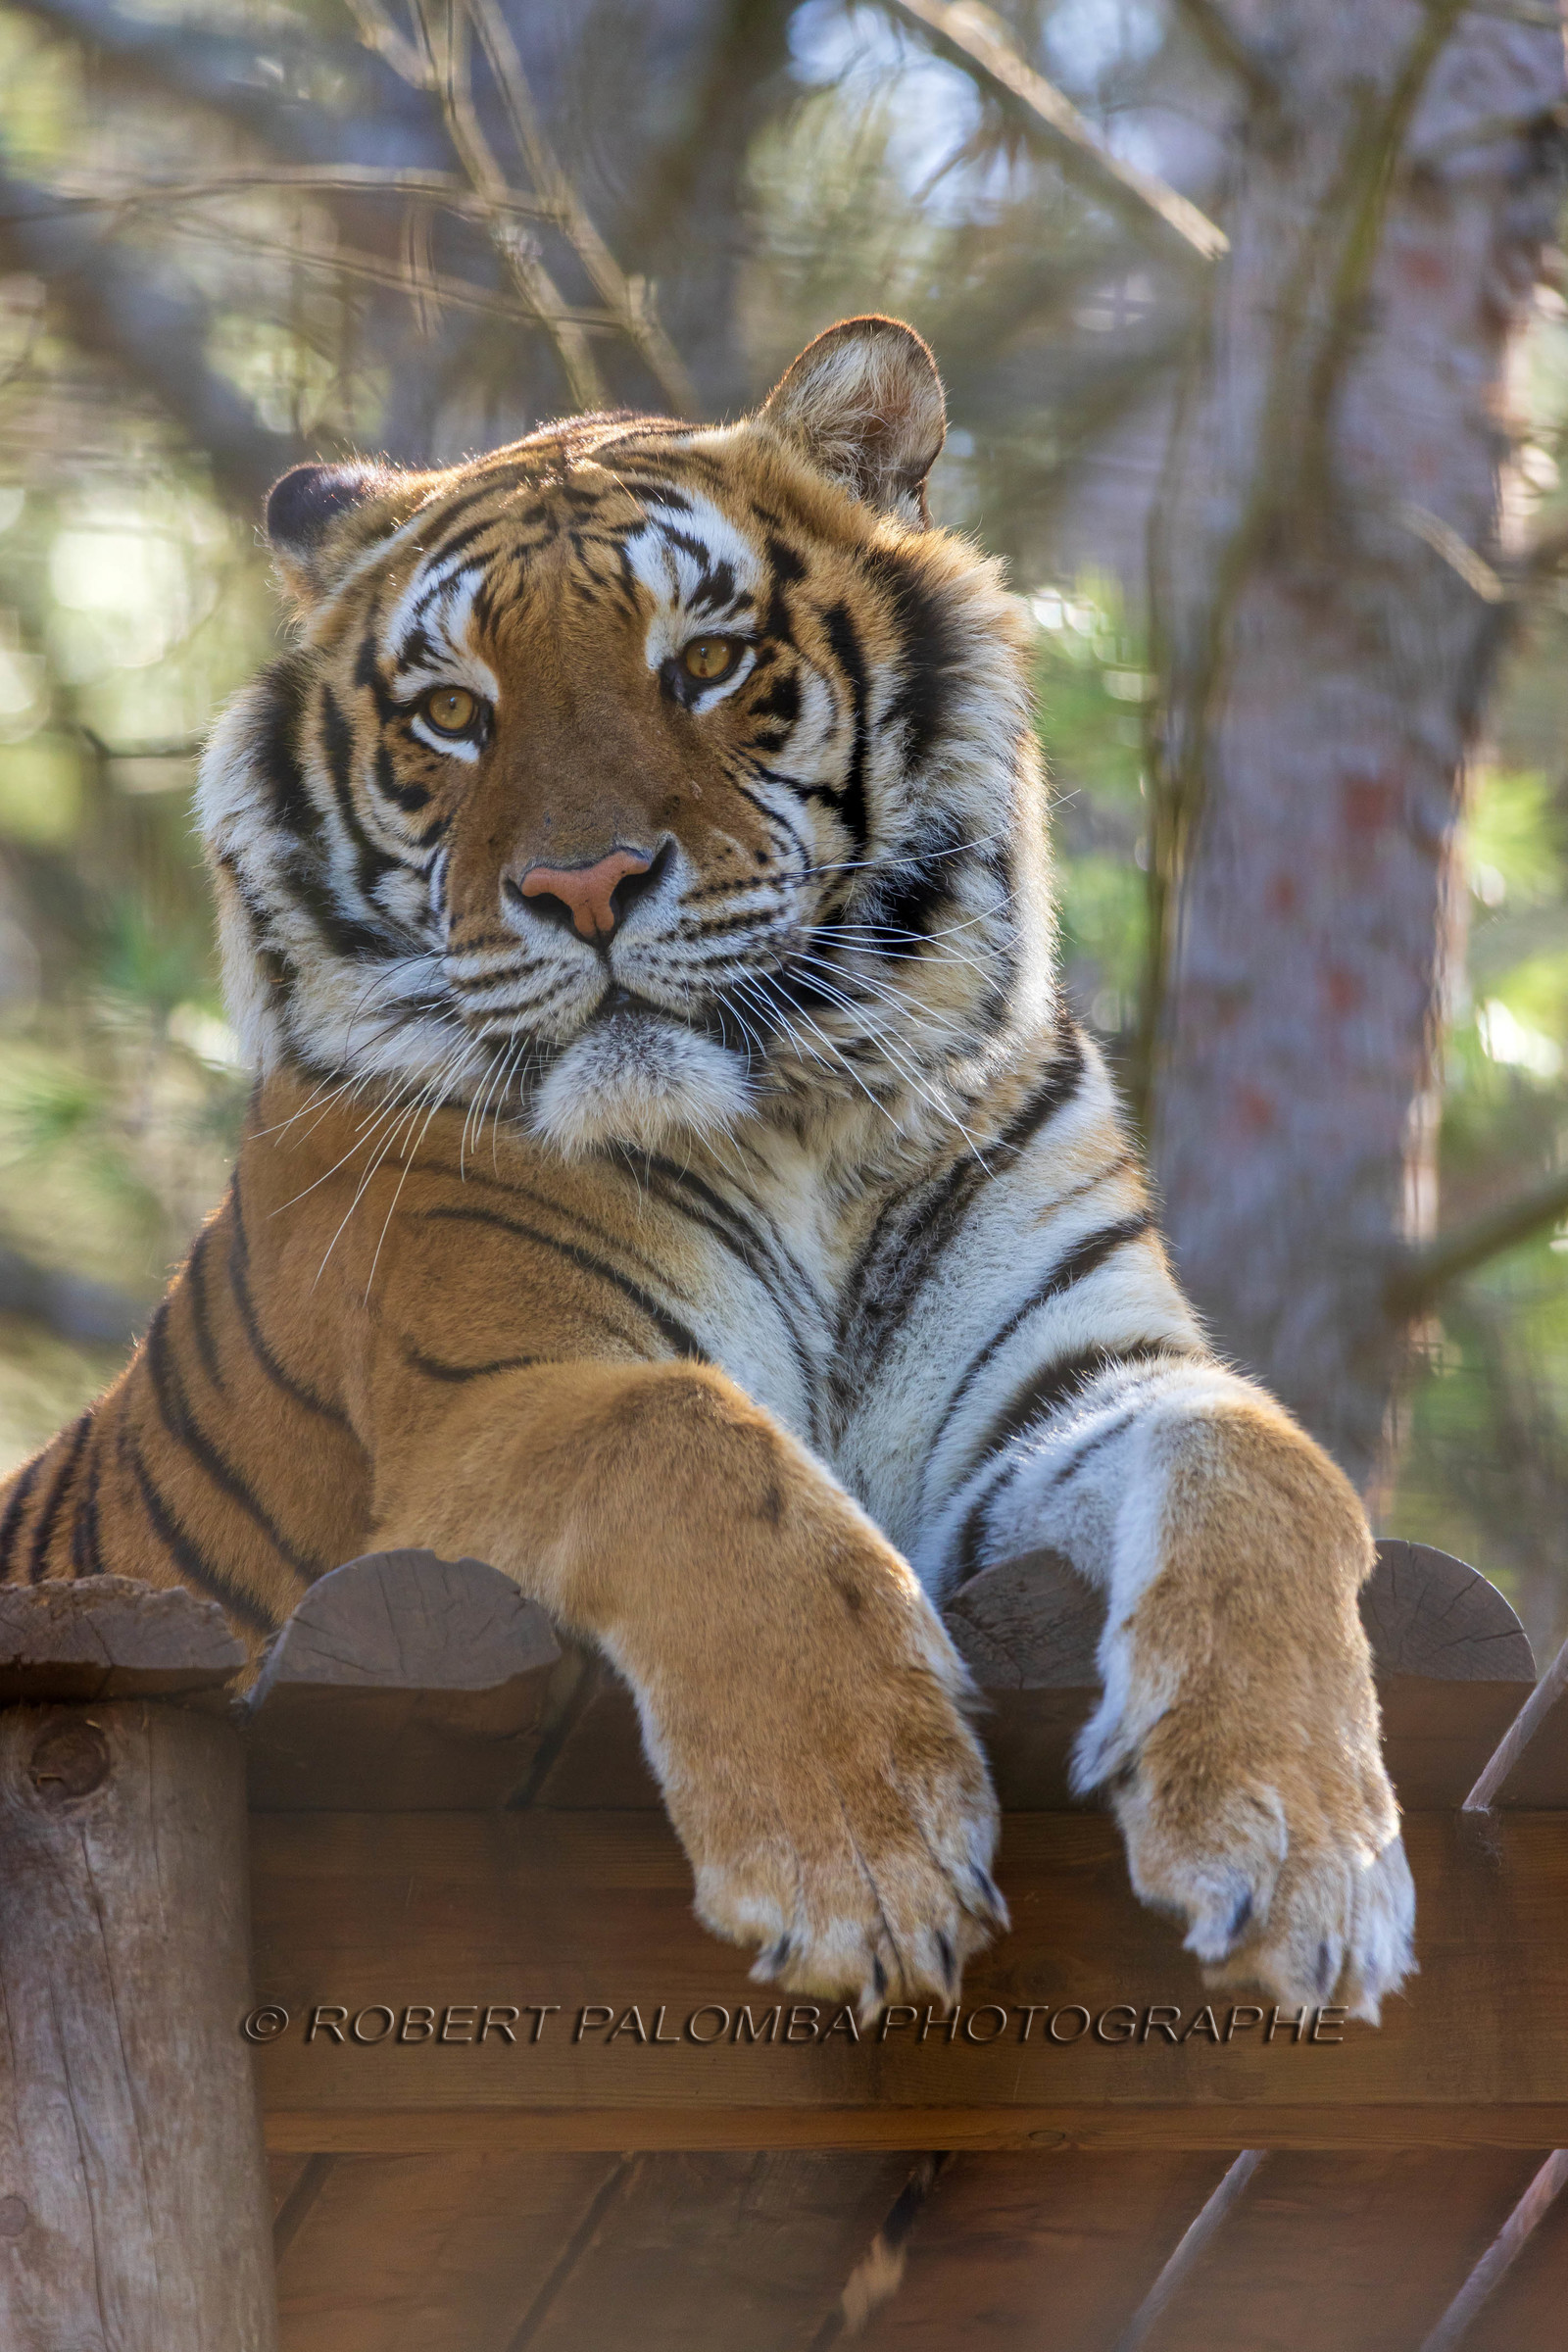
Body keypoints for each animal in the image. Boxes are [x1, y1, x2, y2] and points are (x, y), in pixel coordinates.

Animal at [0, 314, 1413, 2021]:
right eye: (453, 715)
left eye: (706, 664)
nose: (583, 886)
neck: (799, 1126)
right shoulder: (492, 1398)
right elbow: (692, 1440)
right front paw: (862, 1861)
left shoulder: (1066, 1382)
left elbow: (1264, 1461)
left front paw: (1304, 1855)